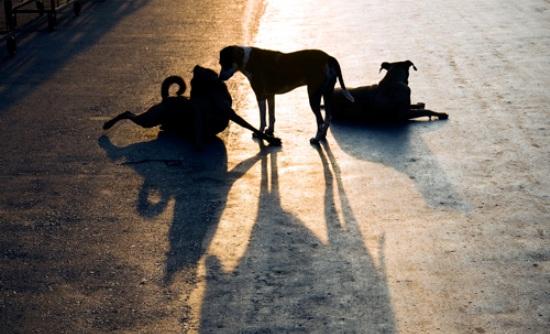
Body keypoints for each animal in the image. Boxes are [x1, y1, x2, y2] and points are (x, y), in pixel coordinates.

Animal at [102, 66, 282, 147]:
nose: (196, 67)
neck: (211, 92)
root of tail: (166, 98)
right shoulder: (214, 110)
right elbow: (251, 126)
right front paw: (269, 138)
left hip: (155, 118)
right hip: (150, 118)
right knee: (127, 112)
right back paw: (108, 124)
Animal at [218, 45, 356, 144]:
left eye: (226, 63)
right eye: (220, 63)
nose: (219, 78)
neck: (248, 60)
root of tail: (328, 57)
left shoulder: (260, 96)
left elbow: (262, 118)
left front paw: (260, 133)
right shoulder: (270, 95)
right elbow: (271, 116)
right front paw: (270, 131)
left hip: (313, 95)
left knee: (320, 120)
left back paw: (316, 139)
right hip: (326, 94)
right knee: (328, 117)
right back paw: (322, 136)